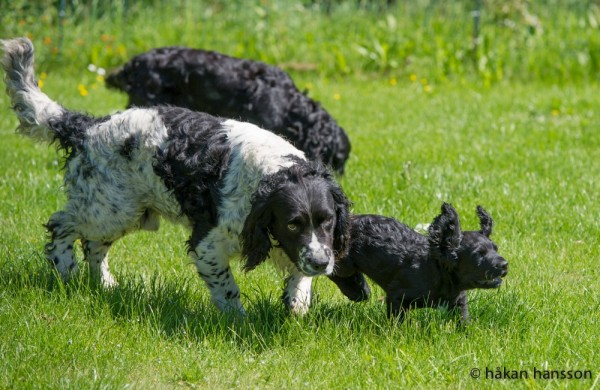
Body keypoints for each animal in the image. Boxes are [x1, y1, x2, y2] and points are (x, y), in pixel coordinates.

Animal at [328, 204, 506, 322]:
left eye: (496, 249)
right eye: (479, 255)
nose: (505, 264)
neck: (438, 272)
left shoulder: (458, 301)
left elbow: (463, 319)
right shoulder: (397, 296)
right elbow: (397, 321)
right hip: (344, 262)